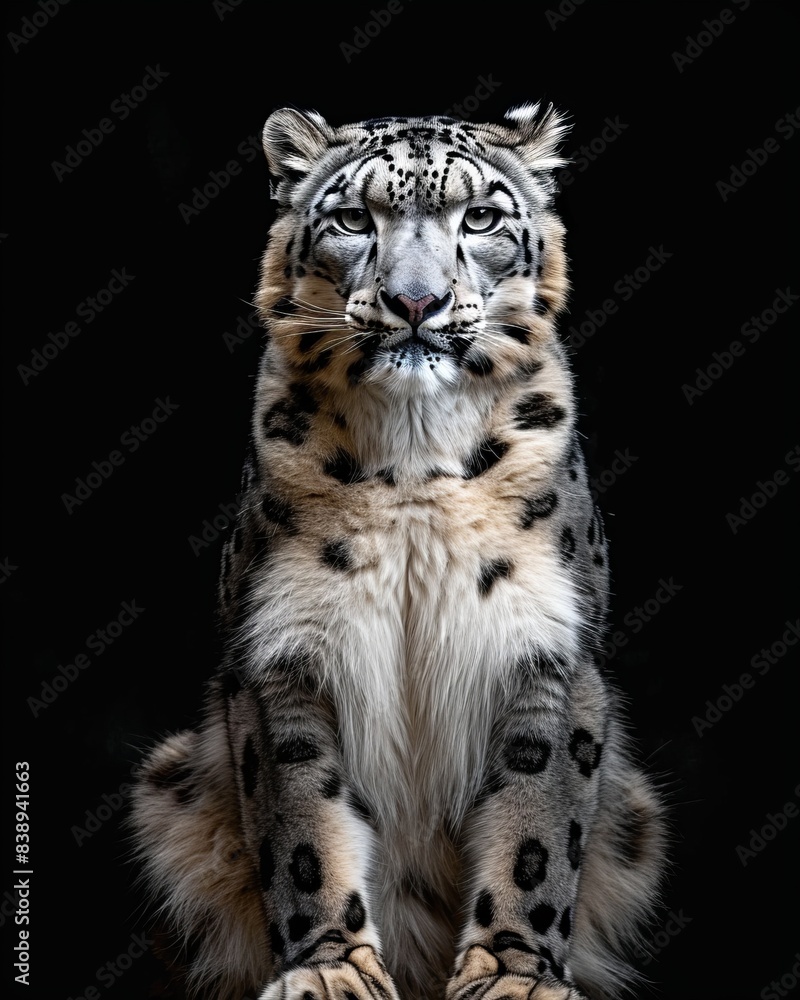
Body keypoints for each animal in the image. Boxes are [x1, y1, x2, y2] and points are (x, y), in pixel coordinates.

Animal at [130, 102, 667, 1000]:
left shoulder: (549, 650)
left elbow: (535, 832)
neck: (416, 460)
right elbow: (302, 830)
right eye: (354, 219)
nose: (415, 302)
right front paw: (330, 971)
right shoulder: (282, 652)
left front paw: (515, 974)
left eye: (479, 217)